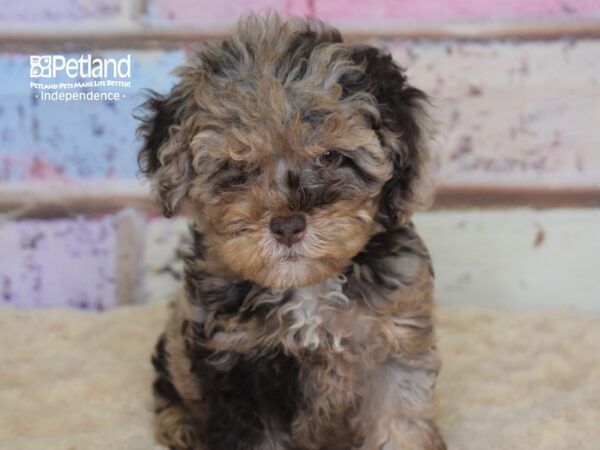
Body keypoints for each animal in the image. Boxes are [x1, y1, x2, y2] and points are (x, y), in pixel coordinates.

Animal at [138, 12, 442, 448]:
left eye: (330, 156)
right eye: (238, 166)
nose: (287, 226)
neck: (307, 288)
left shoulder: (394, 340)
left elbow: (400, 420)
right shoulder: (237, 362)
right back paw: (180, 427)